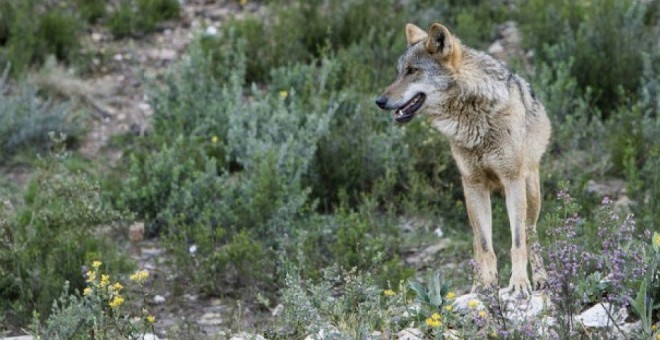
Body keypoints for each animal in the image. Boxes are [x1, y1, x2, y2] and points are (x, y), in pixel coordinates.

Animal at [376, 23, 552, 294]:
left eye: (412, 71)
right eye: (398, 73)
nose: (380, 101)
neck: (474, 116)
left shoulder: (512, 180)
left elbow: (517, 243)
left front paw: (519, 283)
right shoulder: (473, 184)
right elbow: (485, 246)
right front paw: (486, 286)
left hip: (530, 193)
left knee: (531, 235)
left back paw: (541, 279)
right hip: (473, 198)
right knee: (477, 244)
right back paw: (476, 284)